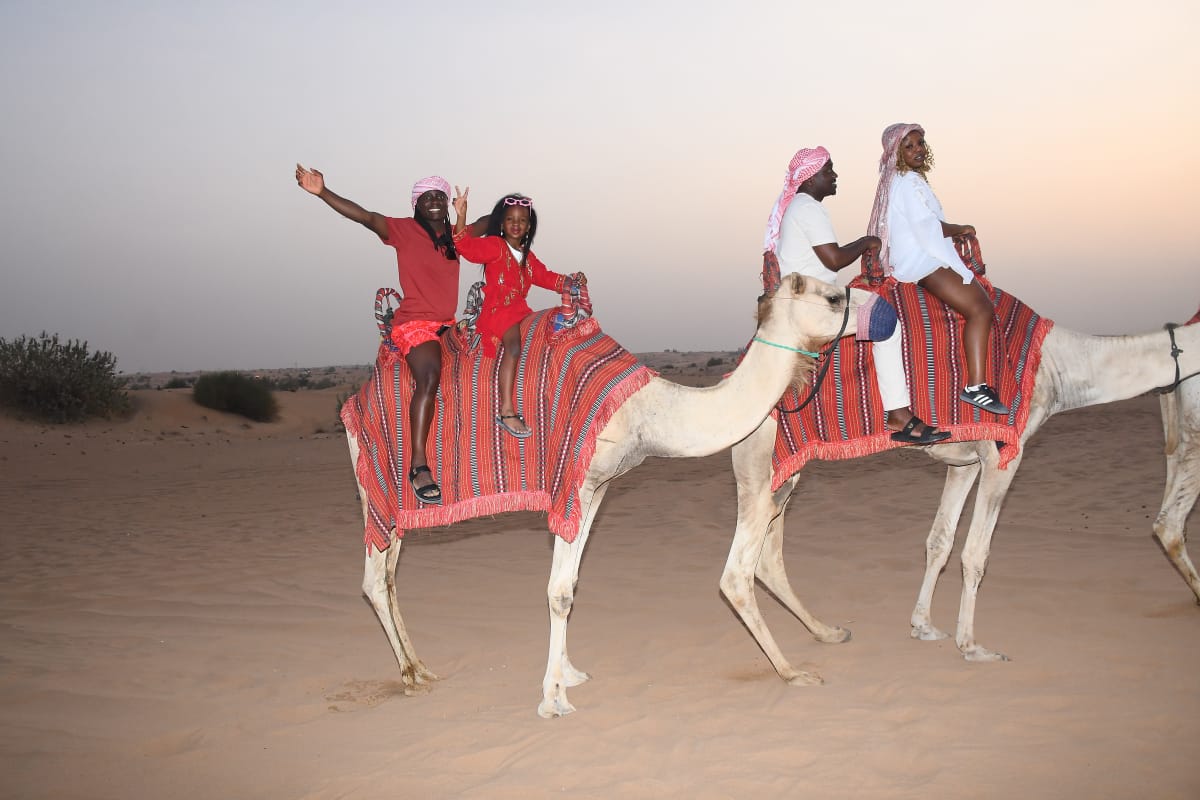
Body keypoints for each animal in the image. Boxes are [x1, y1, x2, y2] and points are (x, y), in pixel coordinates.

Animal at [347, 274, 873, 717]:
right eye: (833, 297)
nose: (877, 308)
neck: (644, 411)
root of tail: (355, 399)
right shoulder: (573, 483)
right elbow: (558, 591)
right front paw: (552, 700)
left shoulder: (597, 486)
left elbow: (571, 584)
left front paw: (568, 675)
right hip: (374, 485)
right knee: (373, 578)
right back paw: (410, 677)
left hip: (397, 507)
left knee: (389, 575)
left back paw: (418, 669)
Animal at [721, 315, 1200, 681]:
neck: (1059, 366)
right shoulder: (1004, 453)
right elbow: (975, 553)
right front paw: (973, 646)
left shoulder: (966, 461)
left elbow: (940, 541)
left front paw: (924, 626)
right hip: (761, 463)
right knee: (738, 572)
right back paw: (792, 672)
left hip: (784, 472)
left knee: (767, 558)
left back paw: (827, 632)